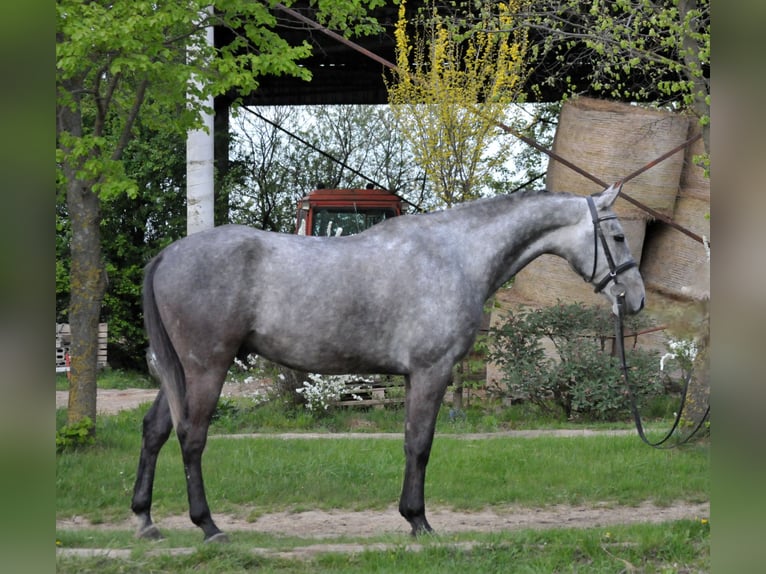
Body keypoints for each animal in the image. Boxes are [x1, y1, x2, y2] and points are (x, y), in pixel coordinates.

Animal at [131, 183, 645, 542]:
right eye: (618, 235)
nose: (636, 299)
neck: (455, 255)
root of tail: (167, 255)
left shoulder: (417, 376)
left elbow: (410, 443)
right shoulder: (432, 371)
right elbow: (420, 445)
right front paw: (419, 522)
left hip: (180, 373)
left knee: (155, 430)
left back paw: (145, 520)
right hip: (206, 368)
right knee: (192, 437)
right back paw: (208, 526)